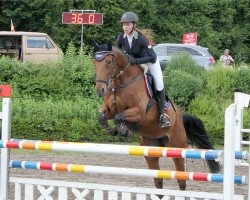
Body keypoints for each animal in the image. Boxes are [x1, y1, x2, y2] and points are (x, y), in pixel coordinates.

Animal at [93, 41, 221, 191]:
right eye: (95, 62)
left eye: (108, 62)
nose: (100, 90)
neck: (121, 83)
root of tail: (180, 116)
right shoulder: (109, 110)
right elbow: (102, 117)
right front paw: (112, 130)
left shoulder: (140, 112)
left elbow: (119, 116)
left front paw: (123, 131)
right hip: (151, 151)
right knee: (158, 180)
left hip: (177, 147)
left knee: (181, 179)